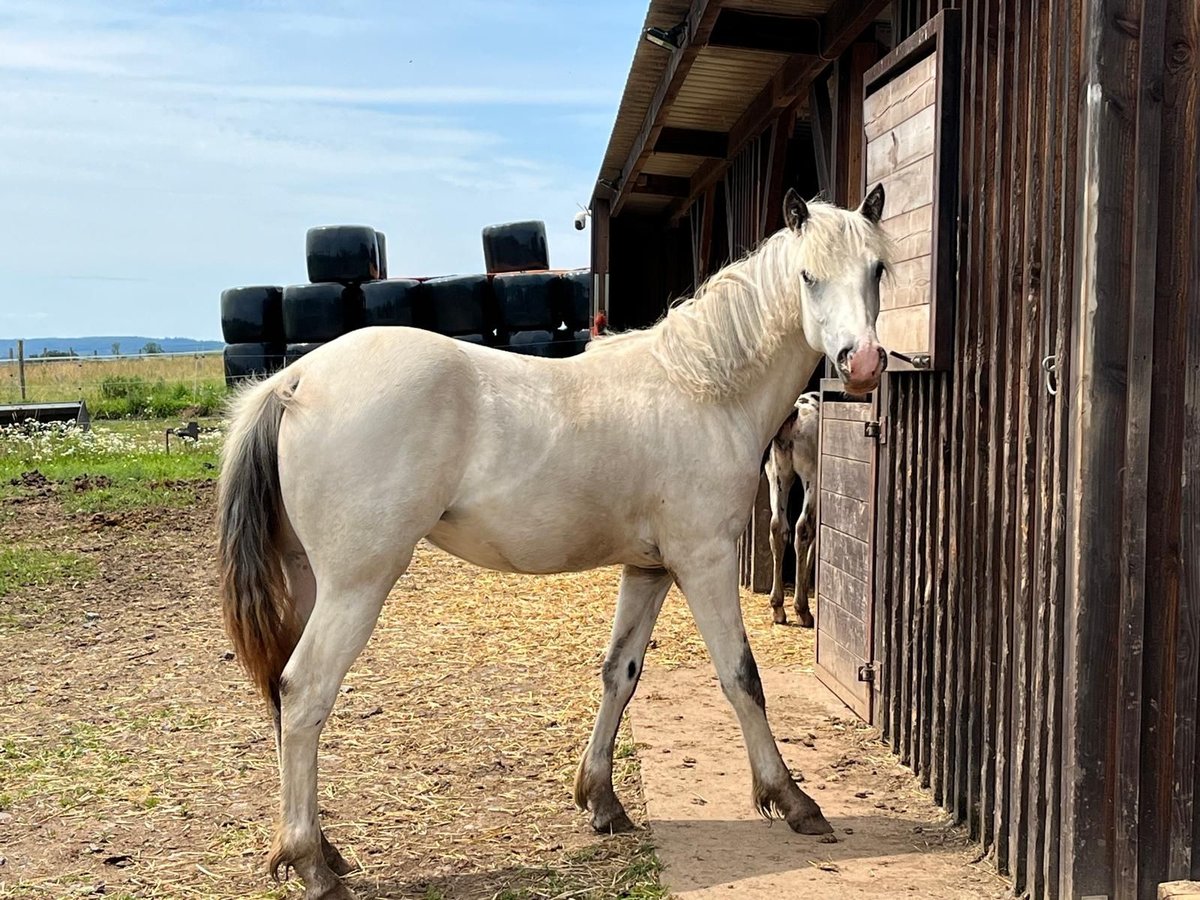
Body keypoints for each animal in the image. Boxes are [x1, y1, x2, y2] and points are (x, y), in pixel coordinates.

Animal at [220, 187, 888, 897]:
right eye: (808, 276)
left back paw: (323, 847)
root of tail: (294, 381)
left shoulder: (649, 571)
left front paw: (602, 800)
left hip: (312, 582)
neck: (703, 389)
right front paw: (791, 800)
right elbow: (742, 678)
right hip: (357, 585)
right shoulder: (703, 562)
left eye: (876, 269)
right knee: (305, 691)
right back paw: (312, 864)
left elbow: (620, 674)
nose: (863, 363)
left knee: (285, 698)